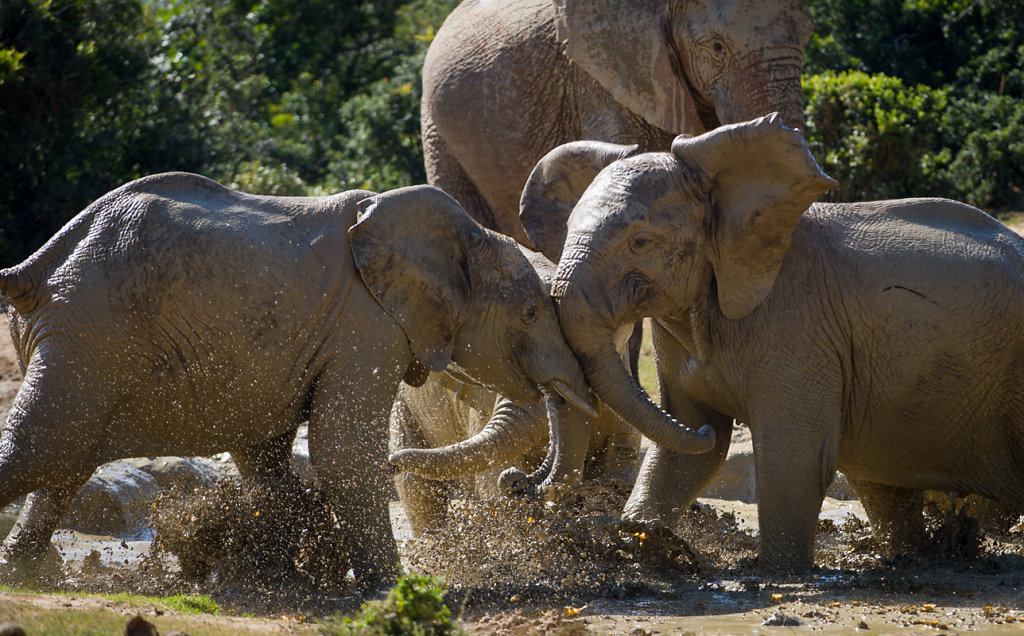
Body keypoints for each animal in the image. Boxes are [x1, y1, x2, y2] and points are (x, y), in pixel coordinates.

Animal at [0, 172, 606, 589]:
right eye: (530, 312)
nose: (519, 482)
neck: (467, 234)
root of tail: (36, 263)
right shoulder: (367, 323)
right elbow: (344, 450)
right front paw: (391, 588)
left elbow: (278, 458)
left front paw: (295, 565)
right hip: (88, 331)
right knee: (41, 448)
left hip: (77, 340)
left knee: (64, 459)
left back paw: (23, 574)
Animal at [524, 112, 1024, 569]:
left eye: (640, 242)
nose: (524, 484)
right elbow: (682, 457)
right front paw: (639, 547)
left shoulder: (799, 324)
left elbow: (793, 458)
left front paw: (778, 575)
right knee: (883, 487)